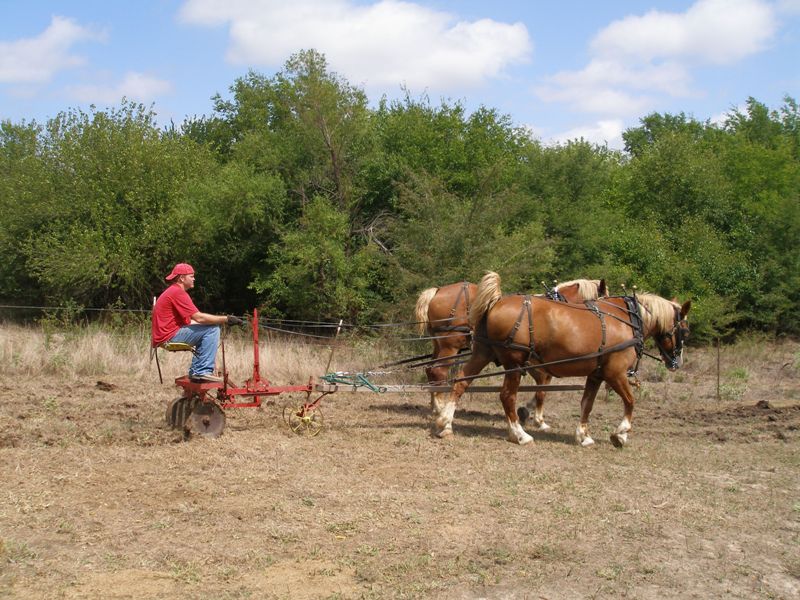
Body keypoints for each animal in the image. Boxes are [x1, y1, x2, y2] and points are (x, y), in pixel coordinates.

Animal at [415, 278, 607, 416]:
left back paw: (435, 405)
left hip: (438, 344)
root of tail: (437, 291)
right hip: (450, 344)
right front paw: (534, 416)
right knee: (438, 371)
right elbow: (542, 386)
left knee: (430, 369)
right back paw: (440, 407)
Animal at [435, 271, 690, 447]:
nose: (676, 363)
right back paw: (519, 434)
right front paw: (621, 434)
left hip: (482, 353)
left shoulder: (596, 374)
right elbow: (630, 401)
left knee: (460, 383)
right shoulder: (615, 373)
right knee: (506, 396)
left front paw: (583, 436)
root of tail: (495, 302)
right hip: (513, 363)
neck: (628, 320)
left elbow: (586, 404)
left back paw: (445, 423)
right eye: (685, 331)